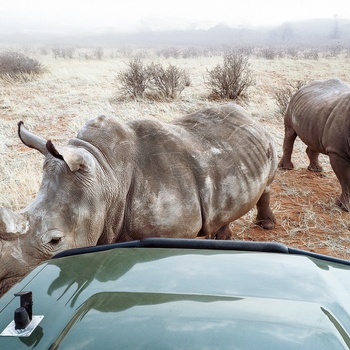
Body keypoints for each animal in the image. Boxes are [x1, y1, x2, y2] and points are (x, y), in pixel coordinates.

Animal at [0, 103, 278, 296]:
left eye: (55, 240)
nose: (6, 285)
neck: (106, 174)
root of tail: (248, 115)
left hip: (266, 140)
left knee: (267, 182)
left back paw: (265, 225)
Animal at [278, 78, 350, 211]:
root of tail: (304, 86)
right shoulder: (338, 151)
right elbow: (347, 179)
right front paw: (345, 208)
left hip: (313, 110)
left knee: (314, 139)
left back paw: (316, 170)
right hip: (292, 104)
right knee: (290, 132)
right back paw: (287, 168)